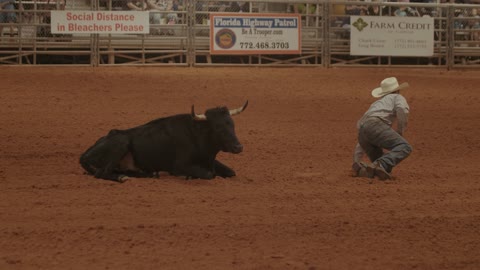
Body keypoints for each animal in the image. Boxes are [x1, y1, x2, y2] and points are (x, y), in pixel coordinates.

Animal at [79, 102, 248, 184]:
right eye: (218, 127)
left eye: (232, 124)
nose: (238, 147)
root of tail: (85, 154)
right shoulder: (179, 166)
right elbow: (208, 174)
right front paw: (187, 177)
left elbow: (230, 172)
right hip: (121, 142)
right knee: (102, 173)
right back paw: (123, 178)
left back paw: (150, 173)